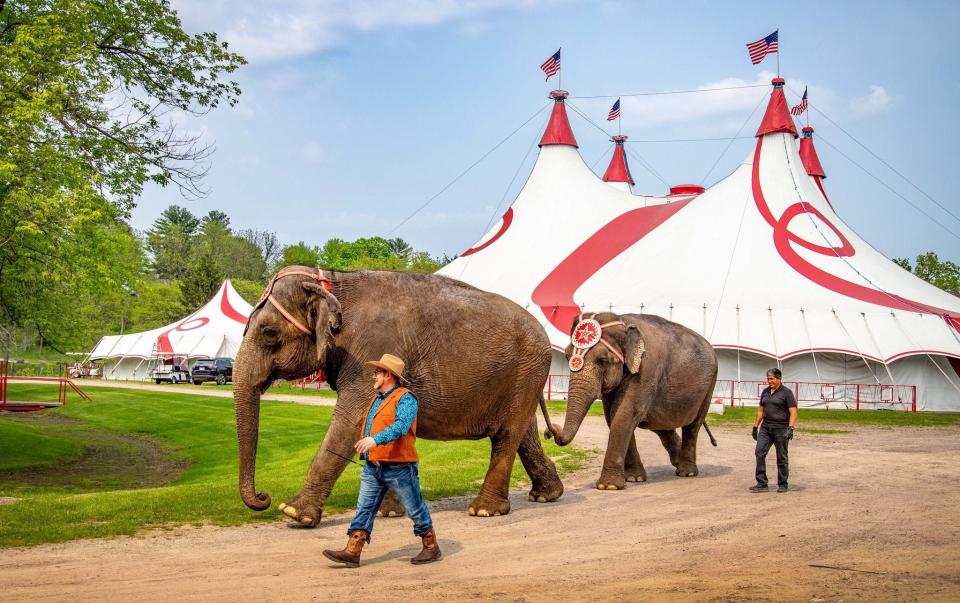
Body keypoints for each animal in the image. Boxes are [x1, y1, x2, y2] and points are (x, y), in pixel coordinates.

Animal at [232, 266, 564, 528]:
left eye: (268, 332)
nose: (264, 496)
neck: (332, 281)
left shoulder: (371, 351)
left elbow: (351, 420)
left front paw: (293, 513)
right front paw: (389, 512)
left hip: (527, 370)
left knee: (507, 436)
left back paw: (484, 511)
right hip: (522, 378)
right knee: (524, 432)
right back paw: (547, 494)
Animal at [544, 312, 716, 490]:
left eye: (602, 360)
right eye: (567, 357)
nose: (549, 431)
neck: (622, 322)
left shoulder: (645, 369)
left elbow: (624, 414)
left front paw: (609, 487)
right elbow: (612, 416)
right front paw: (634, 478)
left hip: (709, 385)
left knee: (693, 425)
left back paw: (687, 472)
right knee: (662, 425)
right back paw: (677, 461)